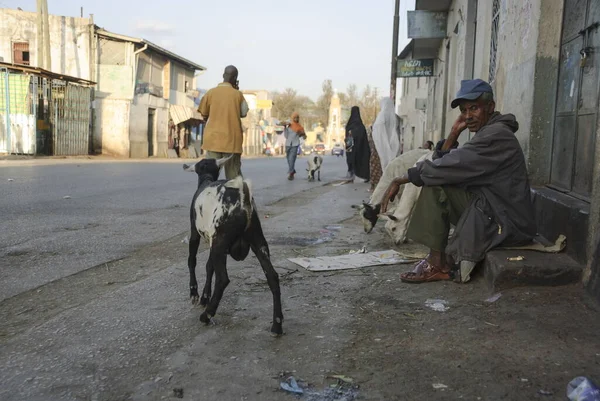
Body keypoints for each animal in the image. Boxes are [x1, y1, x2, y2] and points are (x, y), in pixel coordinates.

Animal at [183, 156, 284, 334]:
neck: (206, 179)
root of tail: (242, 197)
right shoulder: (212, 240)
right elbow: (209, 267)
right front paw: (205, 296)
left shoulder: (196, 233)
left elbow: (192, 261)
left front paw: (195, 293)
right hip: (257, 240)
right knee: (272, 276)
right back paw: (277, 324)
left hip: (220, 241)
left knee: (223, 279)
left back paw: (207, 315)